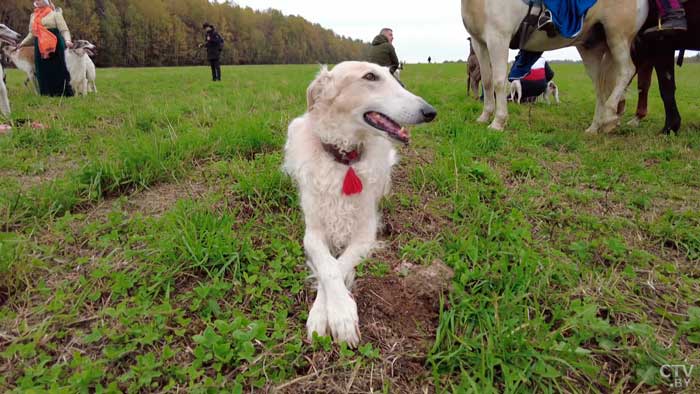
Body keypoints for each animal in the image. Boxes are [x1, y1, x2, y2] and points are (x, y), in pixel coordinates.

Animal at [282, 60, 434, 344]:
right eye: (370, 77)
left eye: (395, 78)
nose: (430, 112)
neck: (345, 162)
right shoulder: (312, 233)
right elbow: (328, 267)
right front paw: (326, 315)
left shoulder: (366, 234)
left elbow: (338, 265)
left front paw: (338, 314)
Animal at [462, 0, 648, 133]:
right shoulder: (480, 43)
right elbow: (487, 82)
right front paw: (484, 117)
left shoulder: (498, 38)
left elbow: (499, 82)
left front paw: (498, 122)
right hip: (592, 49)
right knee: (600, 88)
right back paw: (594, 128)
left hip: (617, 36)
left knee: (627, 71)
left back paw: (609, 117)